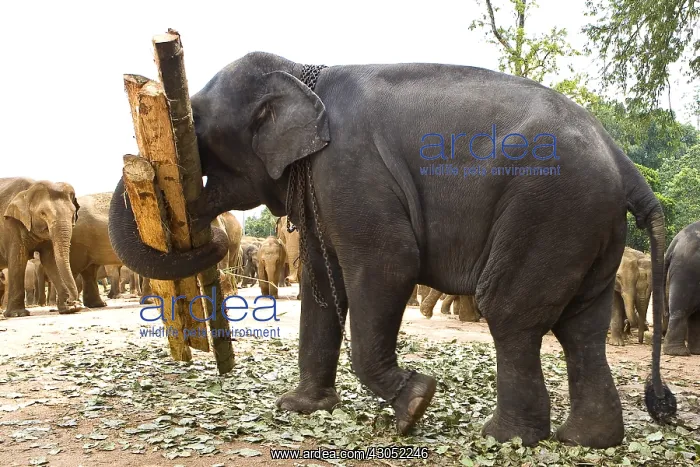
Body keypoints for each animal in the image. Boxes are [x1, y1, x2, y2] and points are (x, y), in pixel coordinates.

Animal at [0, 178, 82, 317]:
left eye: (73, 213)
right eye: (43, 213)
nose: (73, 301)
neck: (28, 190)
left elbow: (50, 260)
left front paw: (69, 309)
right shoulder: (10, 224)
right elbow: (18, 259)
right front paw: (18, 314)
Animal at [108, 52, 675, 448]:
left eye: (190, 132)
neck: (304, 71)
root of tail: (625, 165)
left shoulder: (351, 171)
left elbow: (388, 264)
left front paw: (415, 406)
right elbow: (322, 284)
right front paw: (299, 408)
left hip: (549, 210)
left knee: (512, 313)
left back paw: (504, 437)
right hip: (586, 227)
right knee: (581, 327)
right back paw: (586, 441)